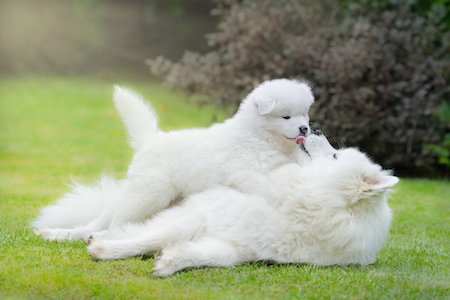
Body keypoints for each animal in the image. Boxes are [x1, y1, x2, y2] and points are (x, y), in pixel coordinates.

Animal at [33, 78, 314, 240]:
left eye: (305, 114)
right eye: (286, 116)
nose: (305, 128)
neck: (261, 136)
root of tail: (149, 141)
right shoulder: (244, 172)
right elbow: (267, 186)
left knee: (98, 222)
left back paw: (60, 234)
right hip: (148, 194)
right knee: (113, 222)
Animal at [87, 132, 398, 278]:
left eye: (335, 157)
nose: (317, 130)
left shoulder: (238, 247)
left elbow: (204, 256)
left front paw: (170, 262)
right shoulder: (201, 215)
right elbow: (147, 238)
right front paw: (107, 249)